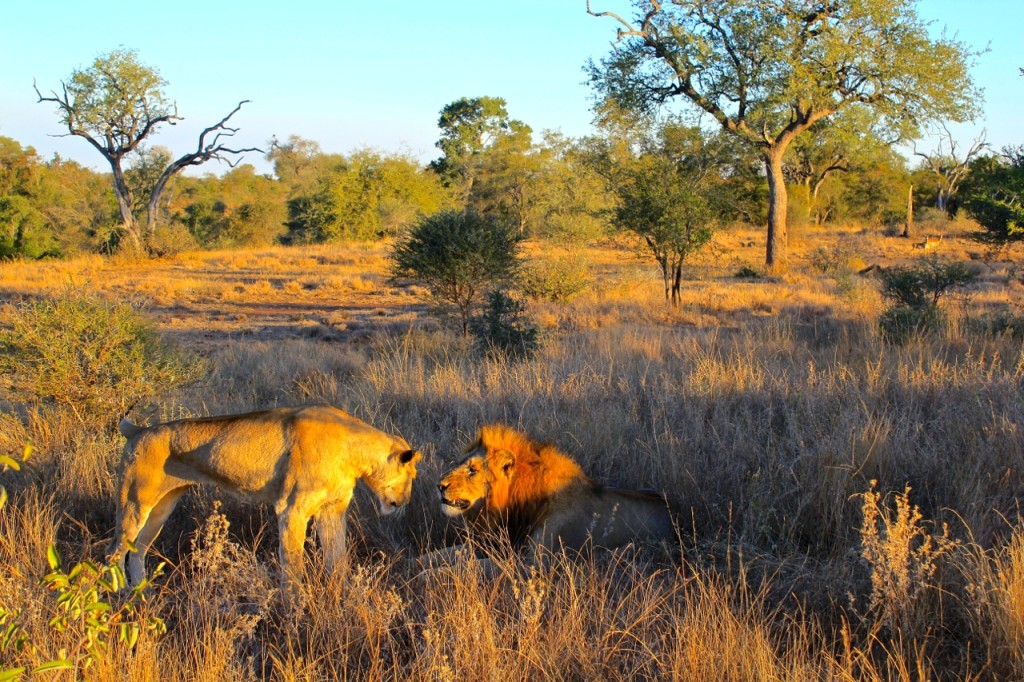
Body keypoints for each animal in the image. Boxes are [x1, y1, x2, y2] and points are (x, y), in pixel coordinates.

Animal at [108, 401, 419, 585]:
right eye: (412, 477)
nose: (405, 502)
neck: (354, 452)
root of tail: (137, 430)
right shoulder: (291, 509)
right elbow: (292, 567)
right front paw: (295, 615)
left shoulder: (332, 509)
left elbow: (337, 559)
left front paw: (341, 597)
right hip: (134, 503)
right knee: (114, 553)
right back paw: (120, 596)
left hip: (162, 508)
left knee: (138, 551)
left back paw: (142, 594)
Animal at [436, 421, 675, 561]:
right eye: (460, 463)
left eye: (472, 470)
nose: (439, 486)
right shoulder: (490, 544)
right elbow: (438, 555)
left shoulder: (529, 563)